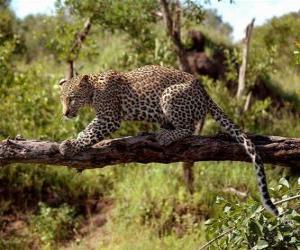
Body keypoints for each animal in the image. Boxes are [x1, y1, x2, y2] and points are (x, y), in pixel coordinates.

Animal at [58, 65, 278, 216]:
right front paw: (72, 140)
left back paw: (163, 136)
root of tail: (205, 92)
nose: (65, 113)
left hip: (169, 95)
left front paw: (70, 146)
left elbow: (91, 132)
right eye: (61, 99)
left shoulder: (109, 117)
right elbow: (87, 131)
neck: (94, 91)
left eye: (72, 98)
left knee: (188, 129)